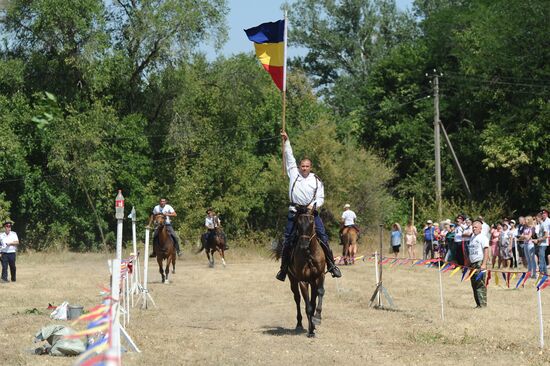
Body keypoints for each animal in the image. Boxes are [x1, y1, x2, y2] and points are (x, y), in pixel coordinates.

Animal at [278, 206, 326, 338]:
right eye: (298, 223)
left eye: (312, 222)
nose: (304, 245)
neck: (310, 254)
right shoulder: (303, 281)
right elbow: (308, 307)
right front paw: (310, 330)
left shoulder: (319, 276)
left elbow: (319, 294)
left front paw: (317, 319)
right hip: (293, 280)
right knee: (298, 299)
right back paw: (299, 324)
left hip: (312, 282)